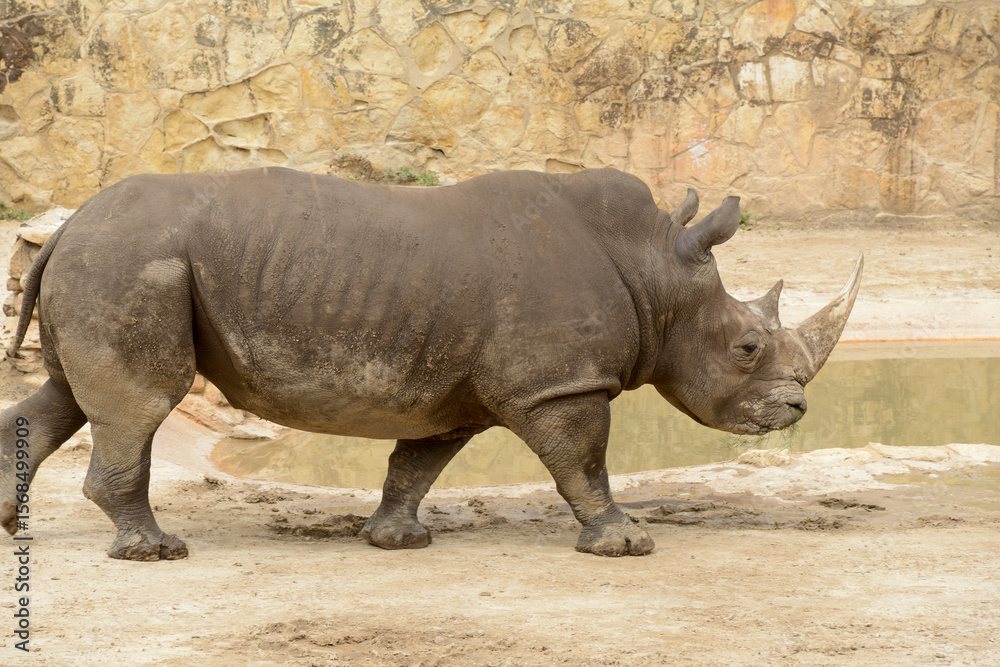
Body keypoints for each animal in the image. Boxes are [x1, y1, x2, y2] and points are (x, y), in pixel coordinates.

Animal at [0, 167, 861, 560]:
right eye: (747, 348)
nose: (796, 409)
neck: (654, 274)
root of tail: (66, 225)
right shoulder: (557, 385)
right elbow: (585, 461)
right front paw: (624, 543)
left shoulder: (452, 389)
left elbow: (416, 462)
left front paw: (396, 539)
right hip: (132, 259)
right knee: (142, 401)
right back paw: (156, 551)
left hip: (112, 260)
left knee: (68, 394)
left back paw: (11, 524)